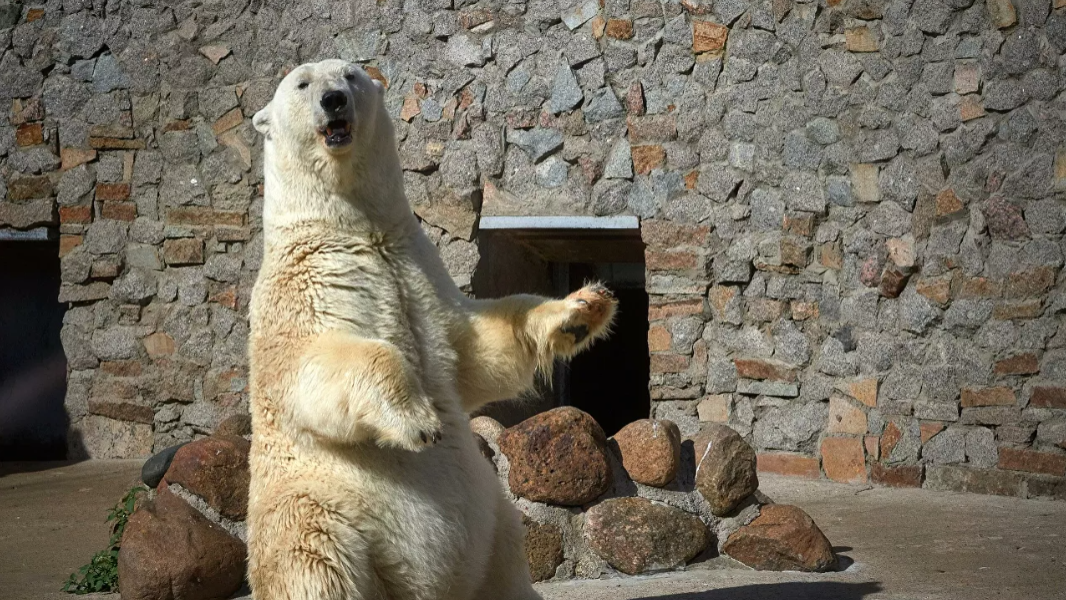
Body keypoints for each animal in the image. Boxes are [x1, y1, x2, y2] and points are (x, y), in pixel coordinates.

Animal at [245, 57, 618, 600]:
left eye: (351, 75)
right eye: (302, 83)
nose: (334, 100)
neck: (358, 232)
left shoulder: (419, 270)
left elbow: (473, 352)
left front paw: (582, 310)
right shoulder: (301, 293)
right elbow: (313, 369)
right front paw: (419, 421)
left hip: (491, 523)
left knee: (505, 565)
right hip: (323, 512)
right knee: (314, 559)